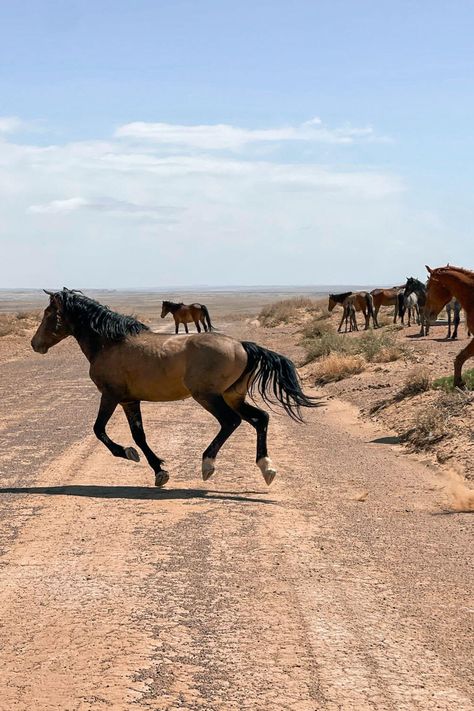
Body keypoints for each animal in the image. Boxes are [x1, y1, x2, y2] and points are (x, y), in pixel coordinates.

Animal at [30, 290, 318, 490]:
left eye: (48, 314)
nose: (35, 344)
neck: (110, 343)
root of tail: (243, 346)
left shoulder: (111, 396)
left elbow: (100, 430)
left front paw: (128, 454)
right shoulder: (130, 401)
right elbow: (139, 436)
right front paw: (159, 471)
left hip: (209, 397)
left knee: (231, 422)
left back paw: (207, 465)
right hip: (233, 396)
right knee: (261, 419)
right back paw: (267, 468)